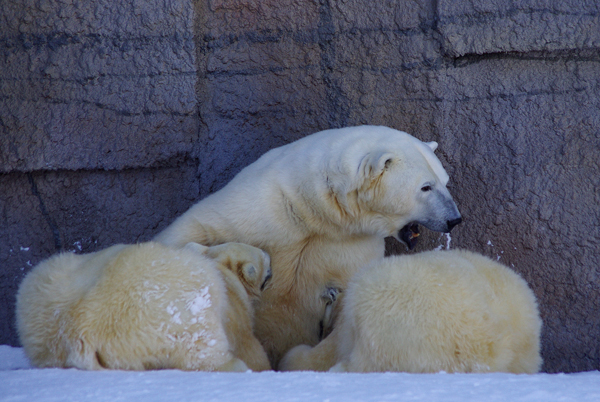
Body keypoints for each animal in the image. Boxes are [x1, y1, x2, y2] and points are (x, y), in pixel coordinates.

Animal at [154, 126, 460, 368]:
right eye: (426, 187)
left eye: (445, 181)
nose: (455, 219)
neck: (316, 210)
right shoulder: (260, 209)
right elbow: (193, 229)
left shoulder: (351, 246)